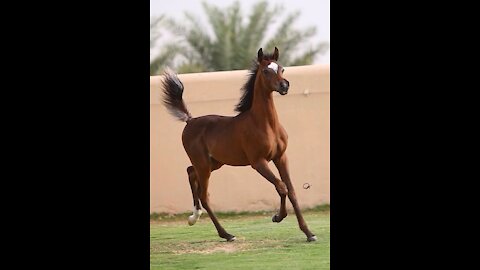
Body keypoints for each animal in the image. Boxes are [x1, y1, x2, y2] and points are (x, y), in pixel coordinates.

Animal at [161, 47, 316, 243]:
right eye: (265, 71)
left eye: (282, 68)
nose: (284, 86)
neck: (265, 124)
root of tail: (190, 121)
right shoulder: (258, 162)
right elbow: (281, 187)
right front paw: (277, 217)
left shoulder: (281, 157)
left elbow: (292, 191)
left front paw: (309, 233)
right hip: (204, 165)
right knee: (204, 195)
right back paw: (226, 234)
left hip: (214, 163)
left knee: (190, 172)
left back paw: (194, 216)